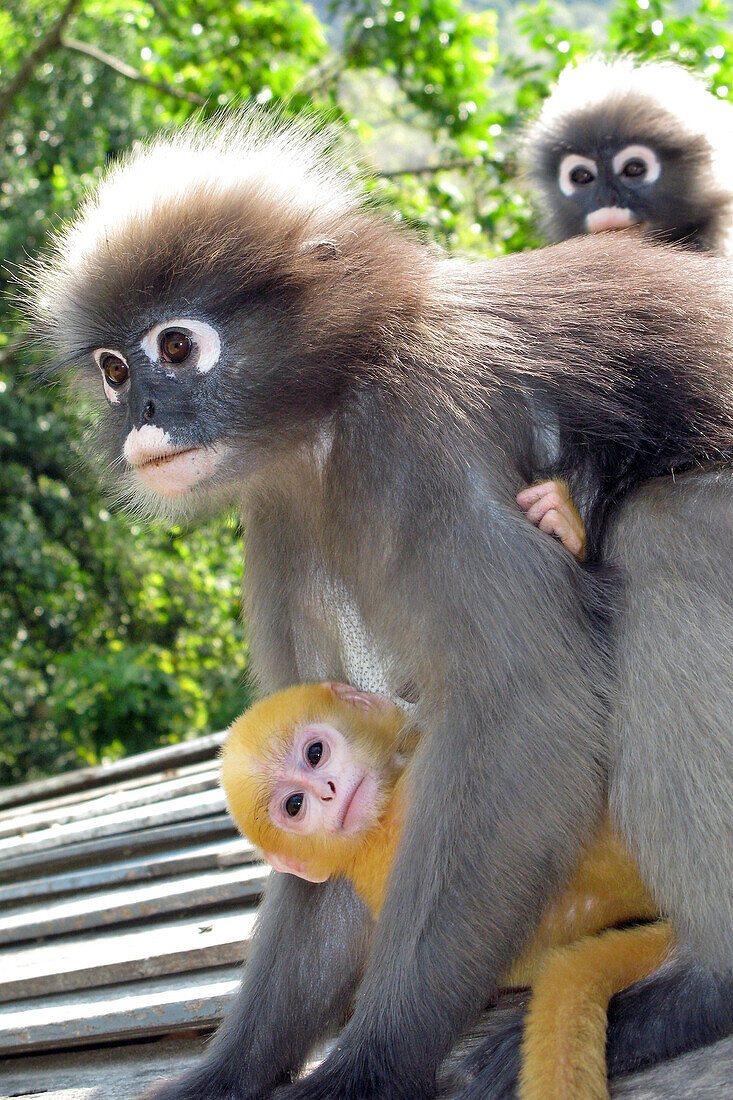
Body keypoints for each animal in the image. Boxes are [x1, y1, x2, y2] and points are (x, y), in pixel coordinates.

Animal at [27, 113, 730, 1100]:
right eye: (114, 369)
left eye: (175, 348)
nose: (143, 414)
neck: (333, 405)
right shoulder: (285, 506)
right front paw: (227, 1071)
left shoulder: (416, 433)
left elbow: (527, 711)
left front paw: (372, 1061)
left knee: (668, 531)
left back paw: (698, 991)